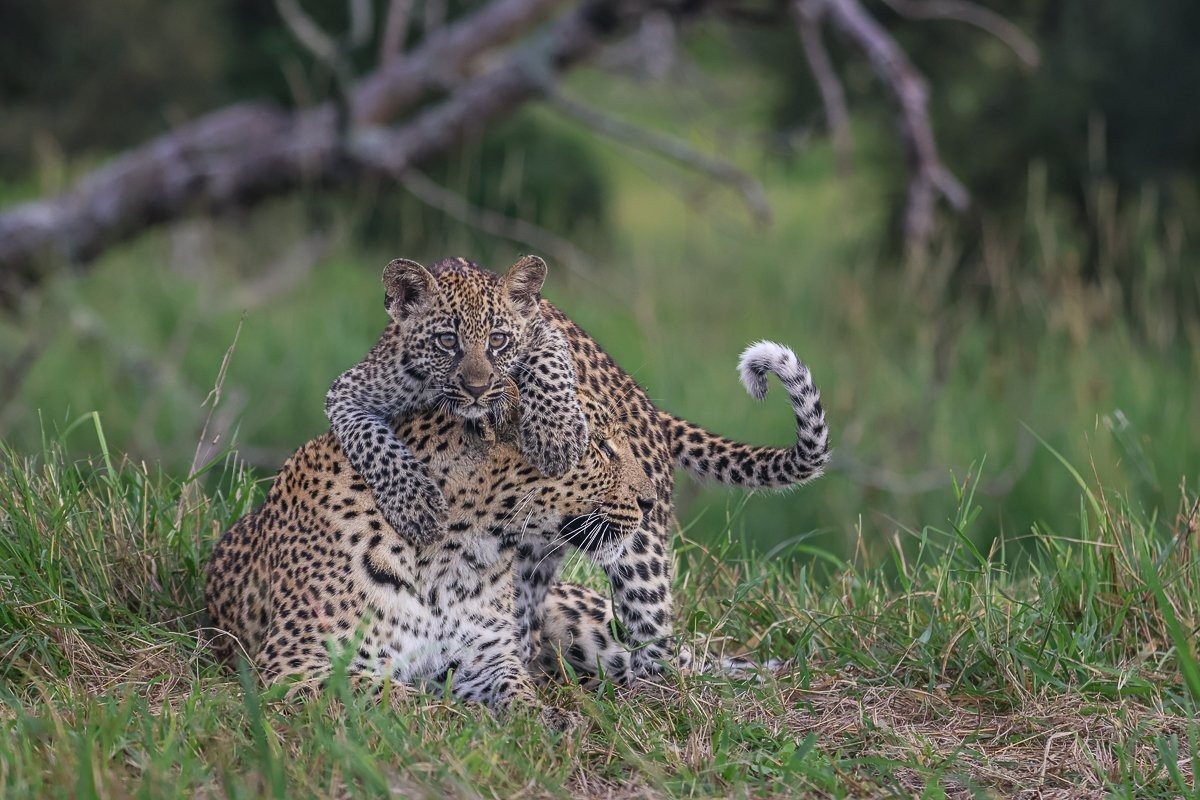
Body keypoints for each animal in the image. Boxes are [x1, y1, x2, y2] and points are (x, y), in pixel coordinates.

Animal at [204, 379, 654, 718]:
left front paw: (545, 718)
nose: (650, 501)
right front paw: (467, 717)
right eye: (599, 447)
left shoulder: (485, 658)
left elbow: (517, 687)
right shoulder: (297, 665)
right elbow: (395, 695)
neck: (450, 553)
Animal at [323, 255, 589, 550]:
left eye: (498, 339)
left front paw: (556, 437)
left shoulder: (542, 330)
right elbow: (372, 442)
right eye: (448, 340)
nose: (477, 388)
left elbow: (549, 362)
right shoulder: (346, 391)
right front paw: (417, 505)